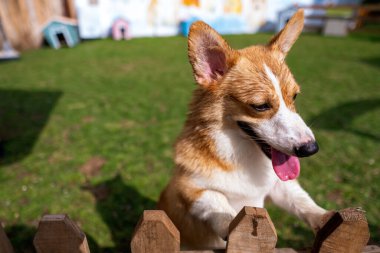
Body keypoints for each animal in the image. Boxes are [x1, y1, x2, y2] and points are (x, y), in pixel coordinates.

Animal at [158, 9, 330, 249]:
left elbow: (302, 201)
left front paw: (328, 218)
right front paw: (231, 225)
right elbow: (217, 200)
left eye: (294, 96)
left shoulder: (279, 187)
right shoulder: (187, 189)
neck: (243, 153)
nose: (311, 148)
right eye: (260, 106)